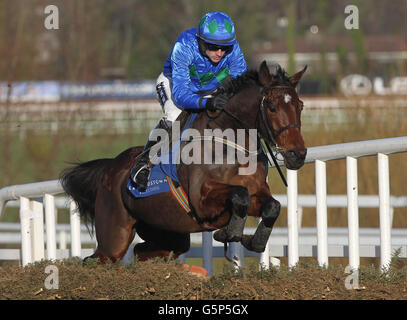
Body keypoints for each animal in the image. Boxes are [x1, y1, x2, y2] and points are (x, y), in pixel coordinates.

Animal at [60, 60, 308, 264]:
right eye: (272, 107)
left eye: (300, 106)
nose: (297, 154)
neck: (230, 146)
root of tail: (110, 168)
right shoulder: (202, 200)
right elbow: (240, 195)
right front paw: (229, 233)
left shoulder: (257, 192)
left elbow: (272, 207)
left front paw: (251, 240)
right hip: (115, 238)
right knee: (95, 259)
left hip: (167, 233)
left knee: (142, 251)